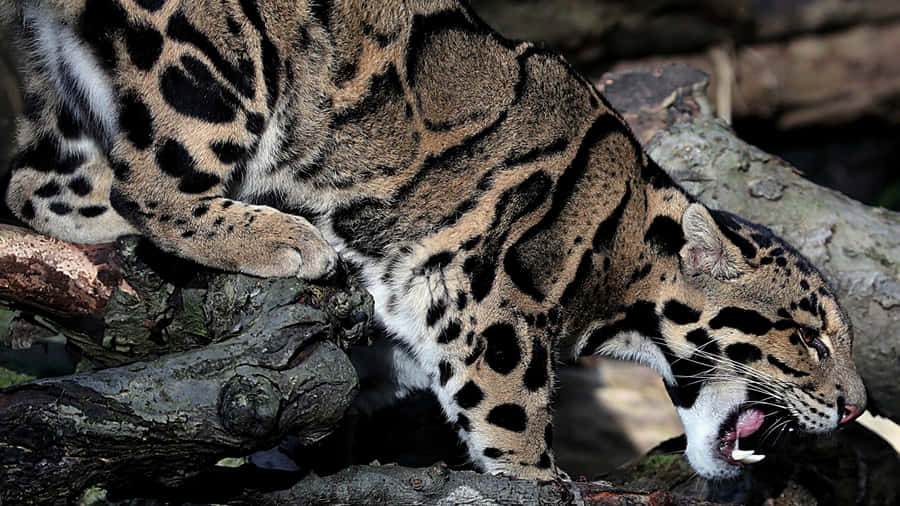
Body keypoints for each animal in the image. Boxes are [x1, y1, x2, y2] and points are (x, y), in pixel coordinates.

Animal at [1, 0, 866, 481]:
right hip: (207, 61)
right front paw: (540, 483)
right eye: (813, 339)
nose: (859, 407)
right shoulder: (495, 305)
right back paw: (278, 236)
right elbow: (513, 417)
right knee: (146, 182)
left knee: (32, 187)